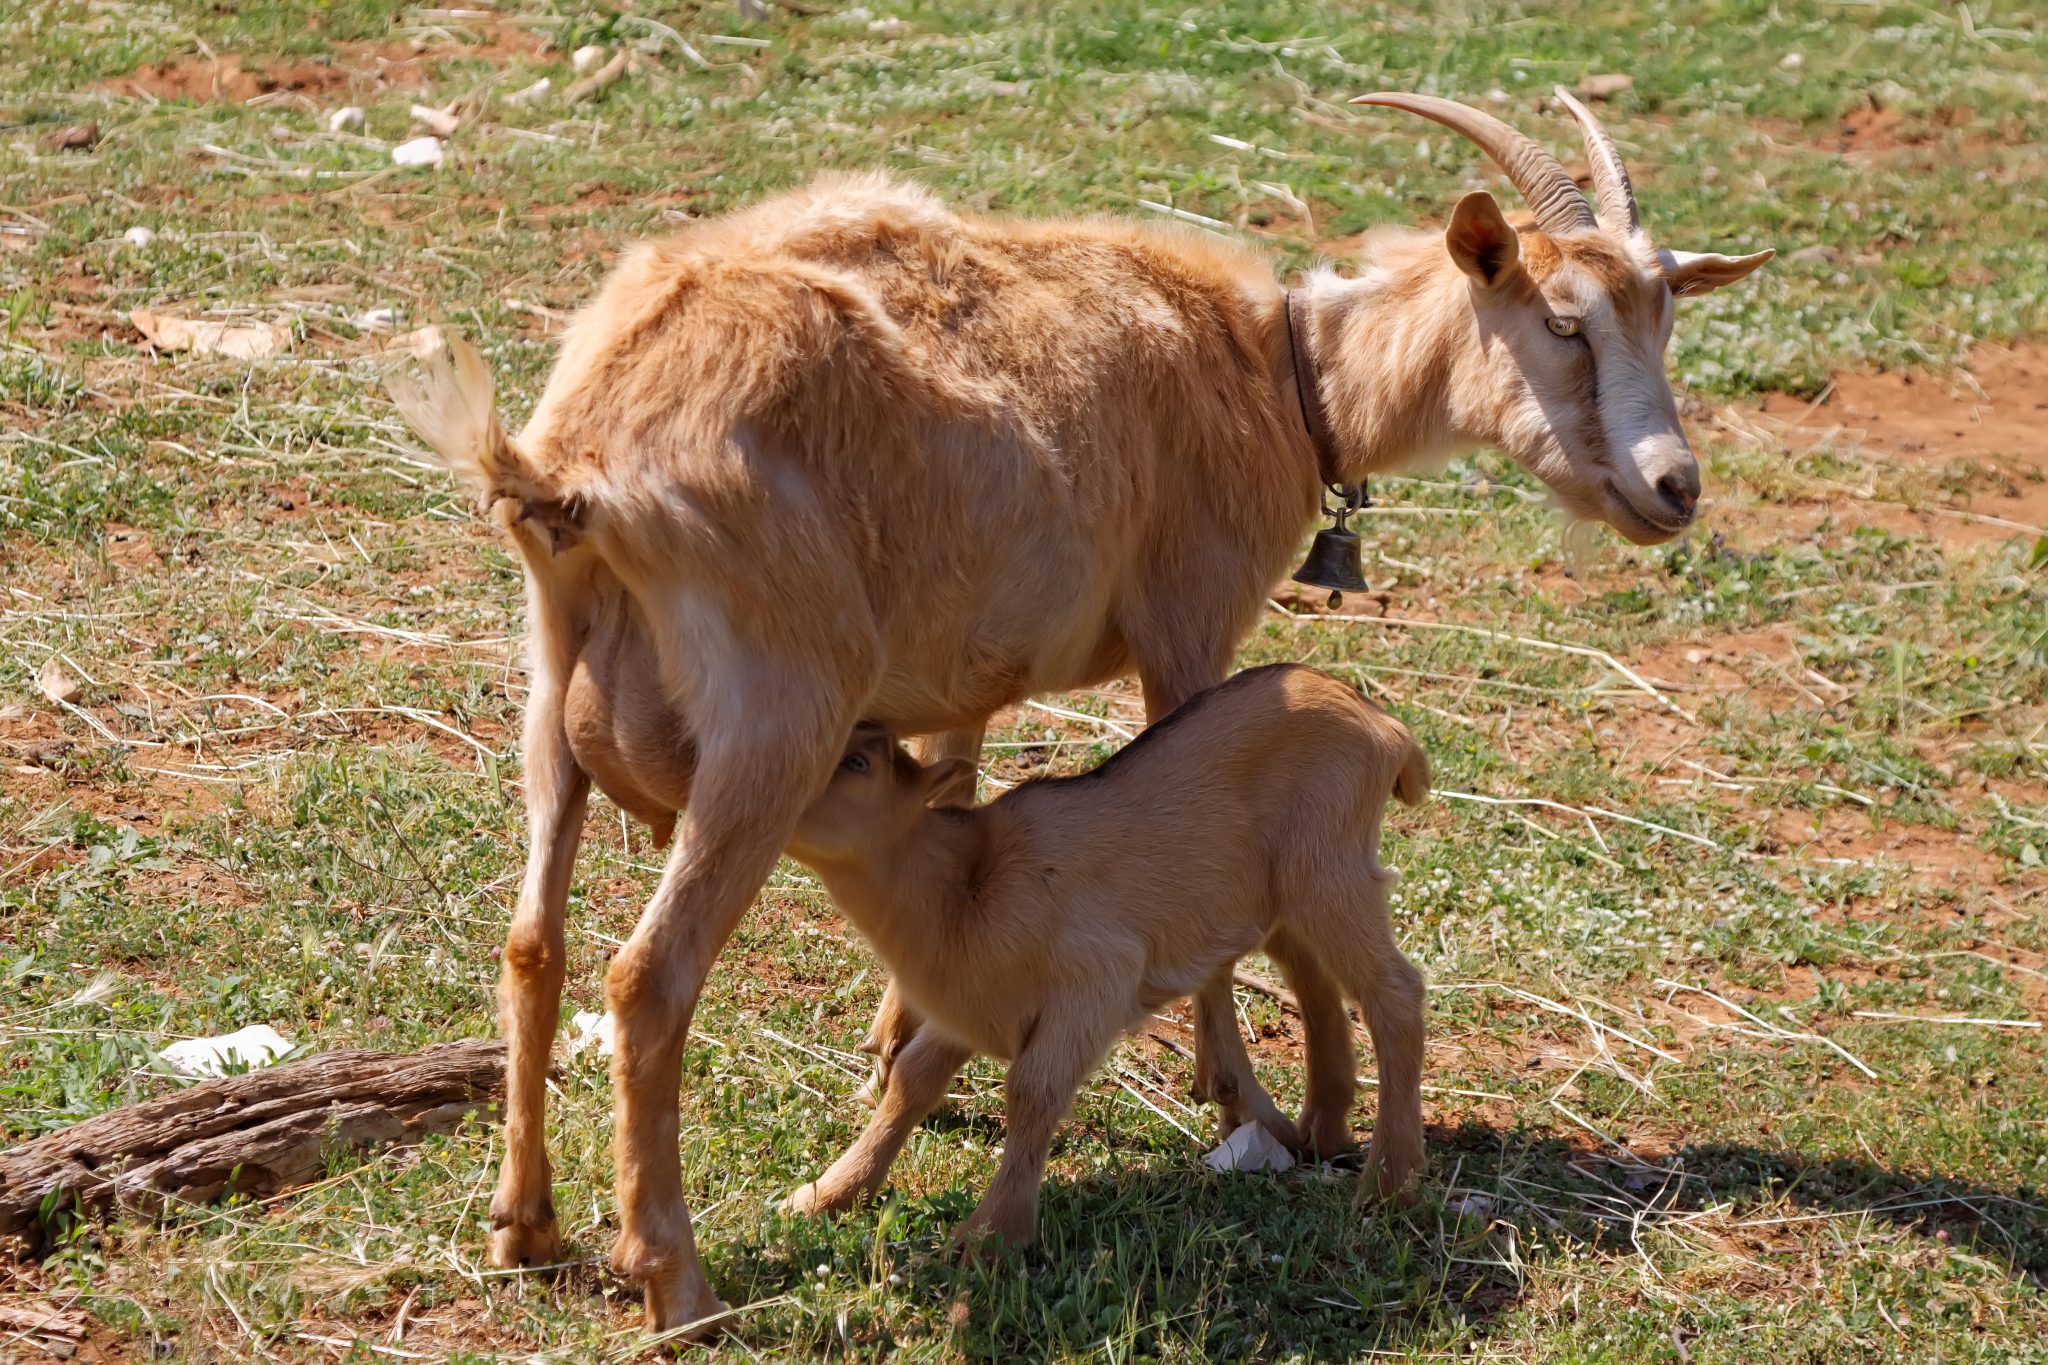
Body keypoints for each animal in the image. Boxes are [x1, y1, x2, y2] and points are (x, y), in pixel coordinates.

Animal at [774, 667, 1433, 1252]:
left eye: (859, 763)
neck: (964, 885)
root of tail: (1386, 726)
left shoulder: (1096, 980)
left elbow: (1032, 1092)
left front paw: (990, 1237)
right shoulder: (969, 1008)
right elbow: (912, 1081)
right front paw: (825, 1196)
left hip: (1329, 871)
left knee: (1395, 994)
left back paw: (1387, 1185)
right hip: (1282, 902)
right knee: (1318, 983)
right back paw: (1319, 1133)